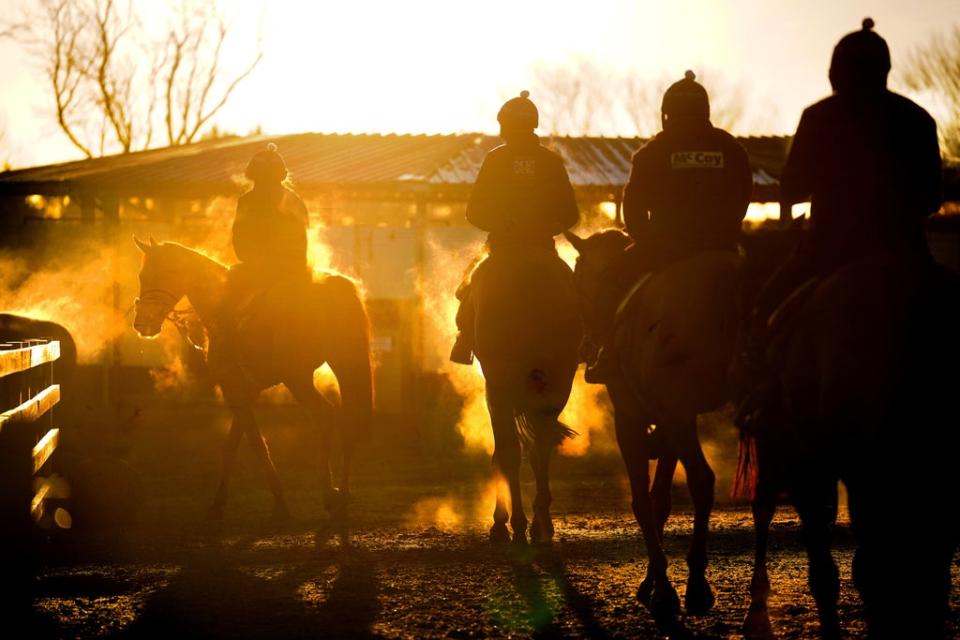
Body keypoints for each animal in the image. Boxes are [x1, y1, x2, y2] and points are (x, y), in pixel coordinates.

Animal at [133, 236, 374, 524]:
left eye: (158, 274)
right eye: (142, 276)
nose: (142, 325)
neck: (221, 304)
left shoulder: (233, 387)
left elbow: (255, 443)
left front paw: (279, 503)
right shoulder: (247, 390)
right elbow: (232, 444)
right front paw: (218, 503)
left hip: (298, 378)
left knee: (325, 415)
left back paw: (329, 495)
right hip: (341, 366)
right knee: (349, 420)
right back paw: (343, 496)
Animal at [464, 246, 576, 544]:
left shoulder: (495, 389)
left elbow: (504, 453)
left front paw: (504, 523)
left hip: (506, 386)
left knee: (514, 451)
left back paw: (518, 523)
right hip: (557, 384)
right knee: (541, 447)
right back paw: (541, 524)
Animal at [564, 228, 744, 616]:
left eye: (577, 277)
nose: (585, 346)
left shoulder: (635, 418)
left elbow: (642, 501)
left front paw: (661, 587)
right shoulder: (669, 418)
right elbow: (659, 498)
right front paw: (651, 581)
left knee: (702, 480)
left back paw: (697, 584)